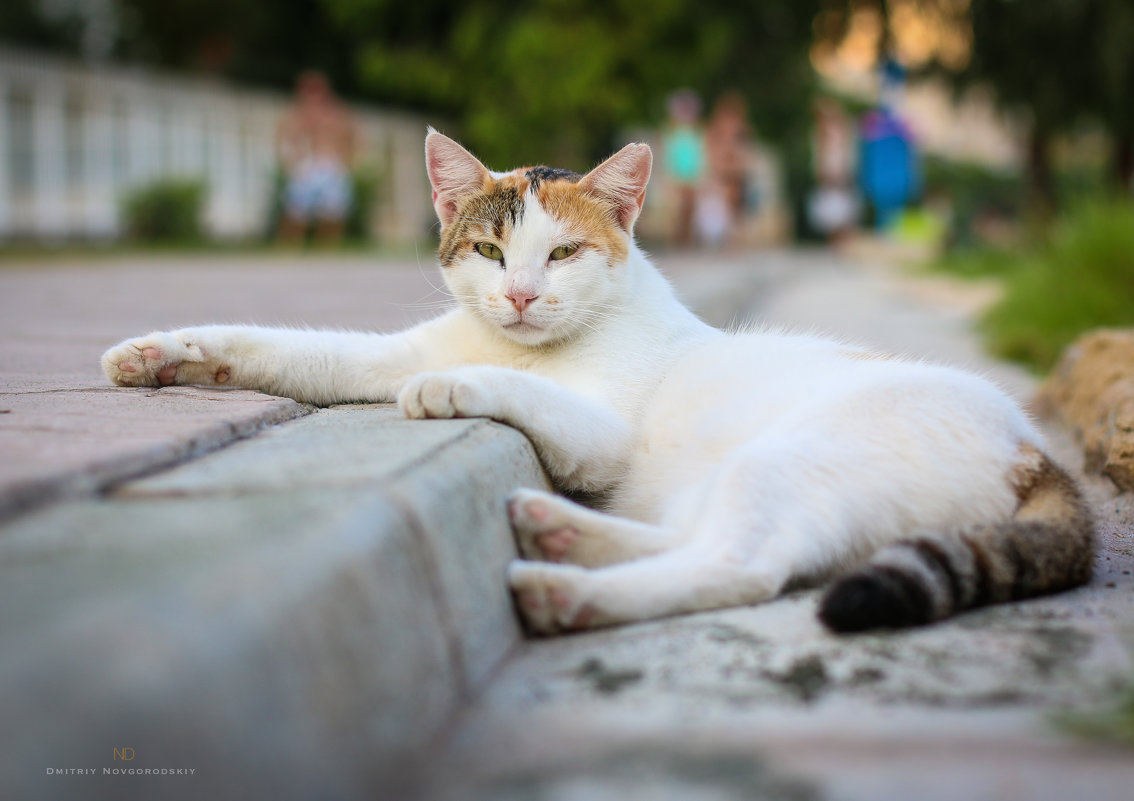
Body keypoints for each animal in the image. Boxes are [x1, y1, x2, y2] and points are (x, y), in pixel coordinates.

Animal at [102, 129, 1093, 630]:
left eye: (565, 253)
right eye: (490, 250)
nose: (520, 294)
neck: (524, 344)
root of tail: (1032, 448)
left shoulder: (602, 432)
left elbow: (516, 391)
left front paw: (456, 389)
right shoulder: (389, 352)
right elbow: (295, 349)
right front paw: (161, 353)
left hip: (791, 459)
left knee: (739, 568)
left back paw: (567, 591)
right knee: (693, 537)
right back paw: (561, 534)